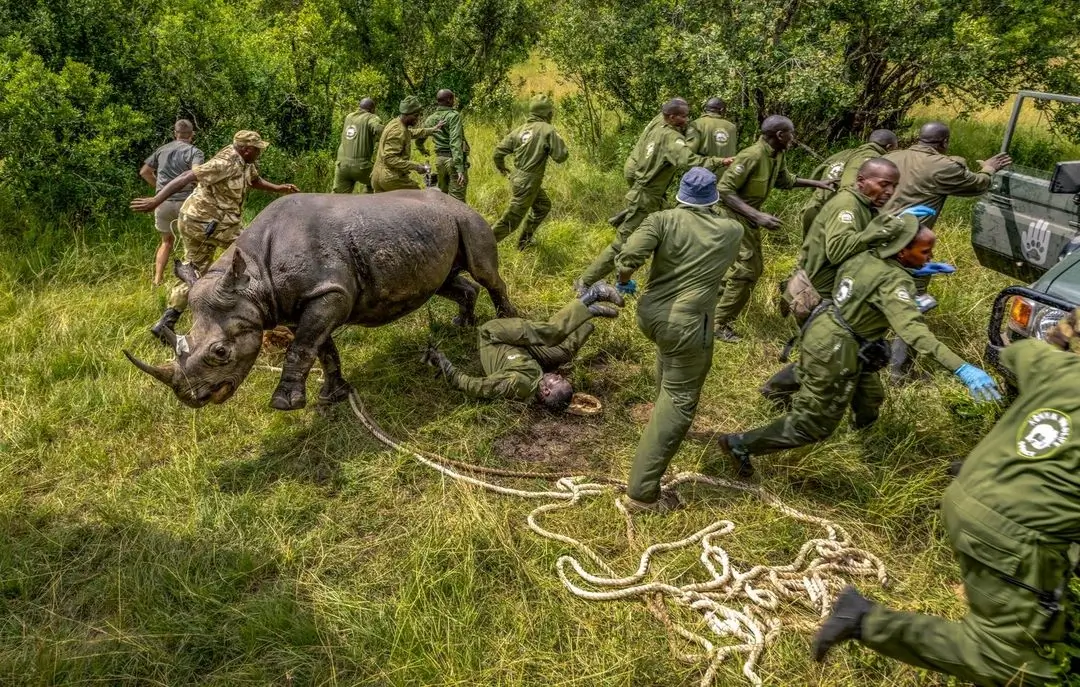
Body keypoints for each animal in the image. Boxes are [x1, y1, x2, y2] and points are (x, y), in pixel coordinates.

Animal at [125, 190, 517, 410]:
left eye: (220, 352)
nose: (192, 399)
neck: (252, 277)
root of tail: (453, 198)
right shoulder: (300, 304)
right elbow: (321, 349)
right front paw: (333, 395)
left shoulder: (328, 293)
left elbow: (301, 348)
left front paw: (284, 404)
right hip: (432, 226)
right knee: (446, 281)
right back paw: (461, 325)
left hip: (465, 218)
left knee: (485, 271)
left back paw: (505, 320)